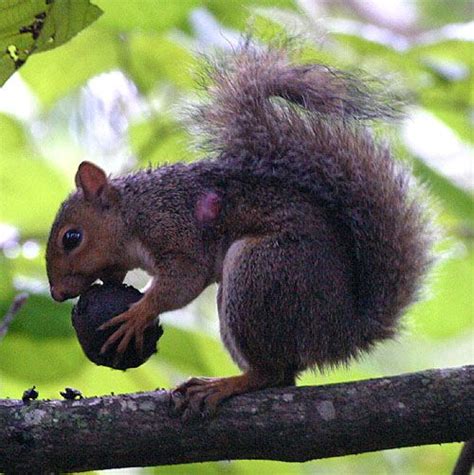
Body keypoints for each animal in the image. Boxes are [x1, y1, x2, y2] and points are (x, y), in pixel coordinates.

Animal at [46, 42, 436, 416]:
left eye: (72, 238)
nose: (57, 294)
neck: (134, 213)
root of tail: (340, 332)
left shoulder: (175, 228)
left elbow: (184, 280)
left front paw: (139, 312)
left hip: (262, 273)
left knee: (272, 373)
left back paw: (224, 385)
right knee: (283, 376)